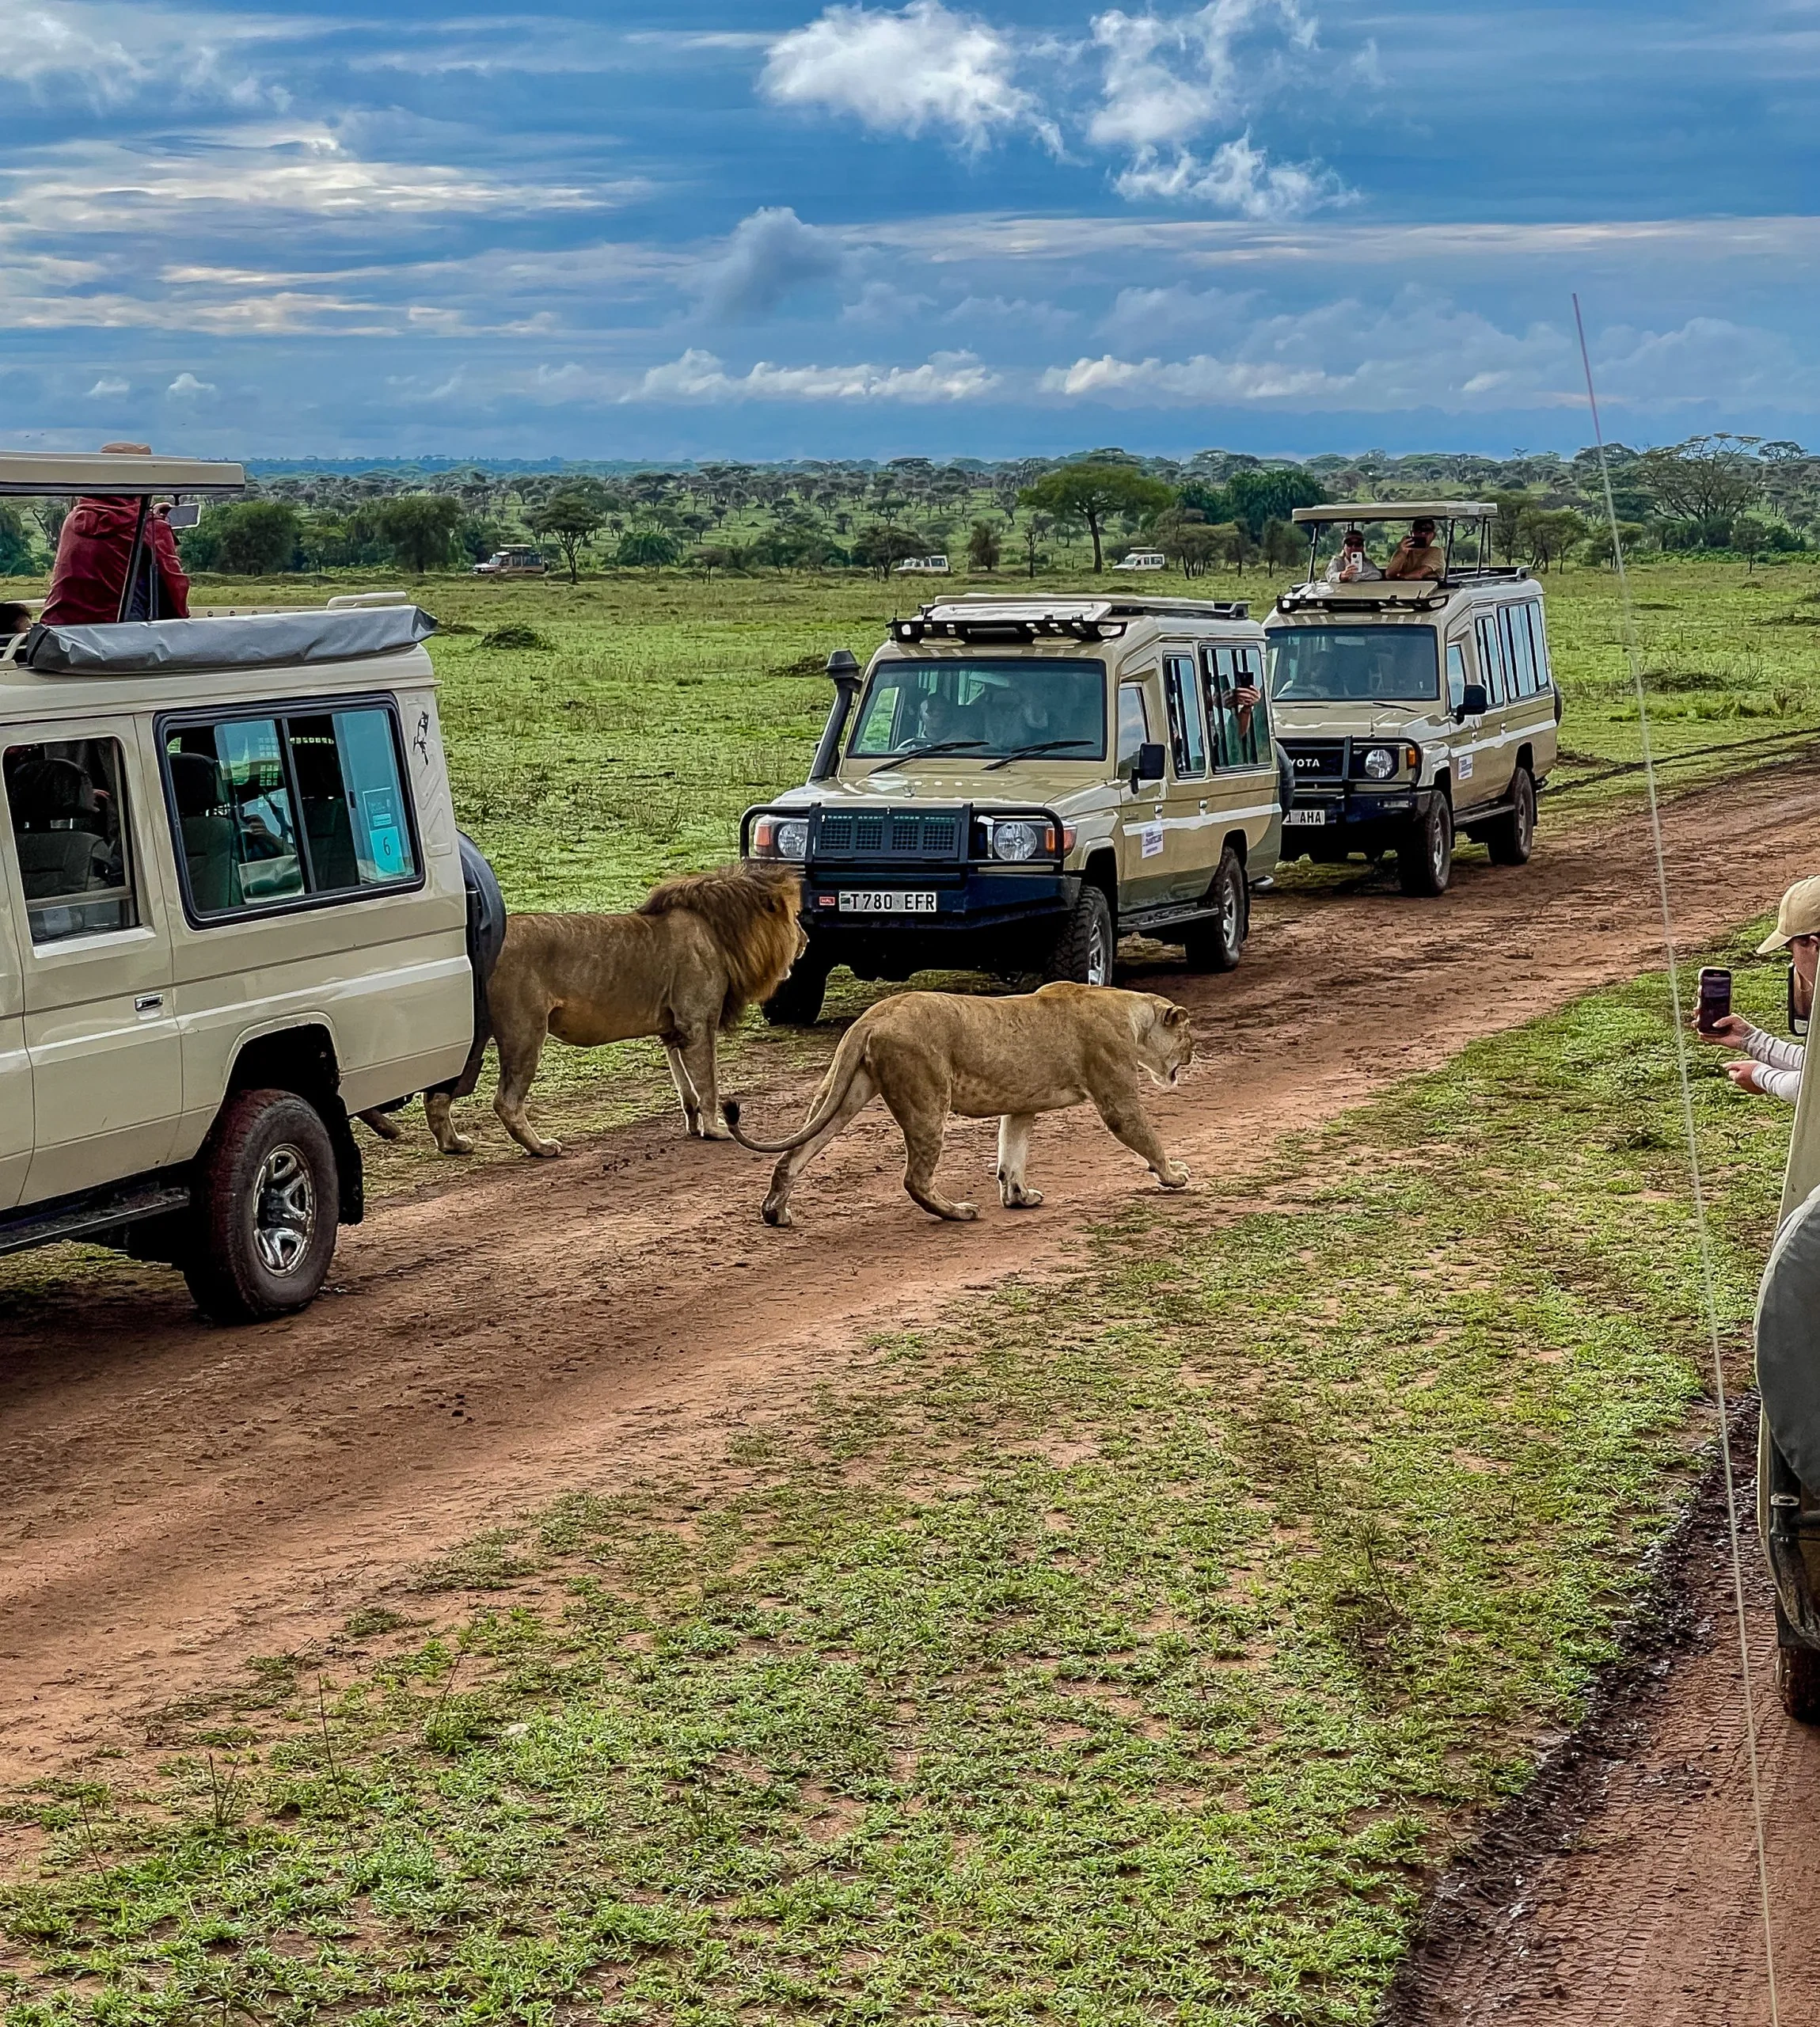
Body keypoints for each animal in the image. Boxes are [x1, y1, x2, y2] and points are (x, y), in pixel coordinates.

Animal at [414, 862, 803, 1158]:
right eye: (796, 918)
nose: (806, 940)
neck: (718, 933)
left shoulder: (675, 1030)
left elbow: (686, 1089)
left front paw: (694, 1126)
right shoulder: (697, 1024)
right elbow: (708, 1084)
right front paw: (716, 1129)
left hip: (473, 1035)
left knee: (437, 1095)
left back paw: (454, 1145)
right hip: (525, 1032)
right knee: (506, 1102)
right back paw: (541, 1148)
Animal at [723, 980, 1193, 1228]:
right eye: (1188, 1037)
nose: (1193, 1055)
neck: (1131, 1015)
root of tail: (872, 1017)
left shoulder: (1022, 1104)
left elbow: (1011, 1154)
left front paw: (1019, 1197)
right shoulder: (1116, 1099)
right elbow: (1146, 1137)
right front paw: (1174, 1175)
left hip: (843, 1095)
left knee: (794, 1155)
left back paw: (775, 1212)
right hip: (927, 1099)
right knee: (914, 1178)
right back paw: (958, 1212)